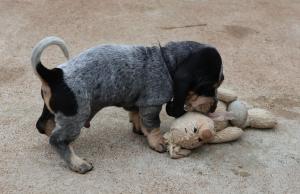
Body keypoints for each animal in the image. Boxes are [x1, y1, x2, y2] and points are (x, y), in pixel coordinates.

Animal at [31, 37, 224, 174]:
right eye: (210, 86)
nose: (214, 108)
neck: (165, 62)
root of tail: (54, 74)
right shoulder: (152, 104)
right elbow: (153, 126)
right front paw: (158, 142)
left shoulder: (139, 103)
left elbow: (137, 116)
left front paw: (139, 129)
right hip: (76, 116)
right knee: (57, 140)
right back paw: (78, 163)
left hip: (58, 110)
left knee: (43, 126)